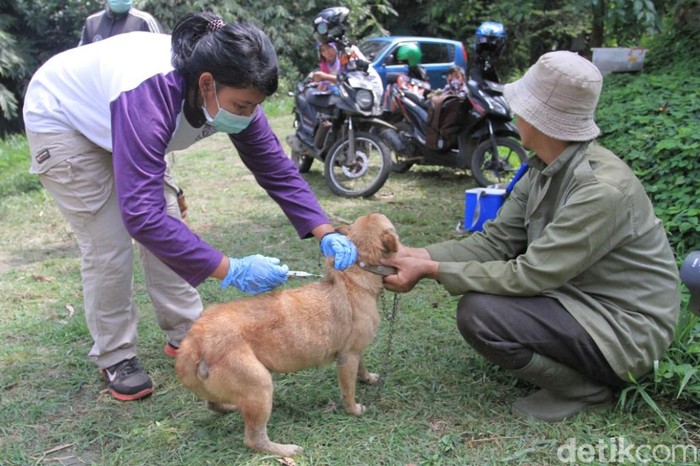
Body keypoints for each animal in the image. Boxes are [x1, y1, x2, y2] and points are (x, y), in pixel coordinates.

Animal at [175, 212, 399, 456]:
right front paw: (354, 410)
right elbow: (348, 391)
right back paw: (285, 450)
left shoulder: (355, 351)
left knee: (212, 404)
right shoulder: (347, 357)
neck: (356, 272)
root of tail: (194, 340)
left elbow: (362, 368)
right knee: (254, 439)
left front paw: (368, 378)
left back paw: (229, 407)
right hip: (260, 386)